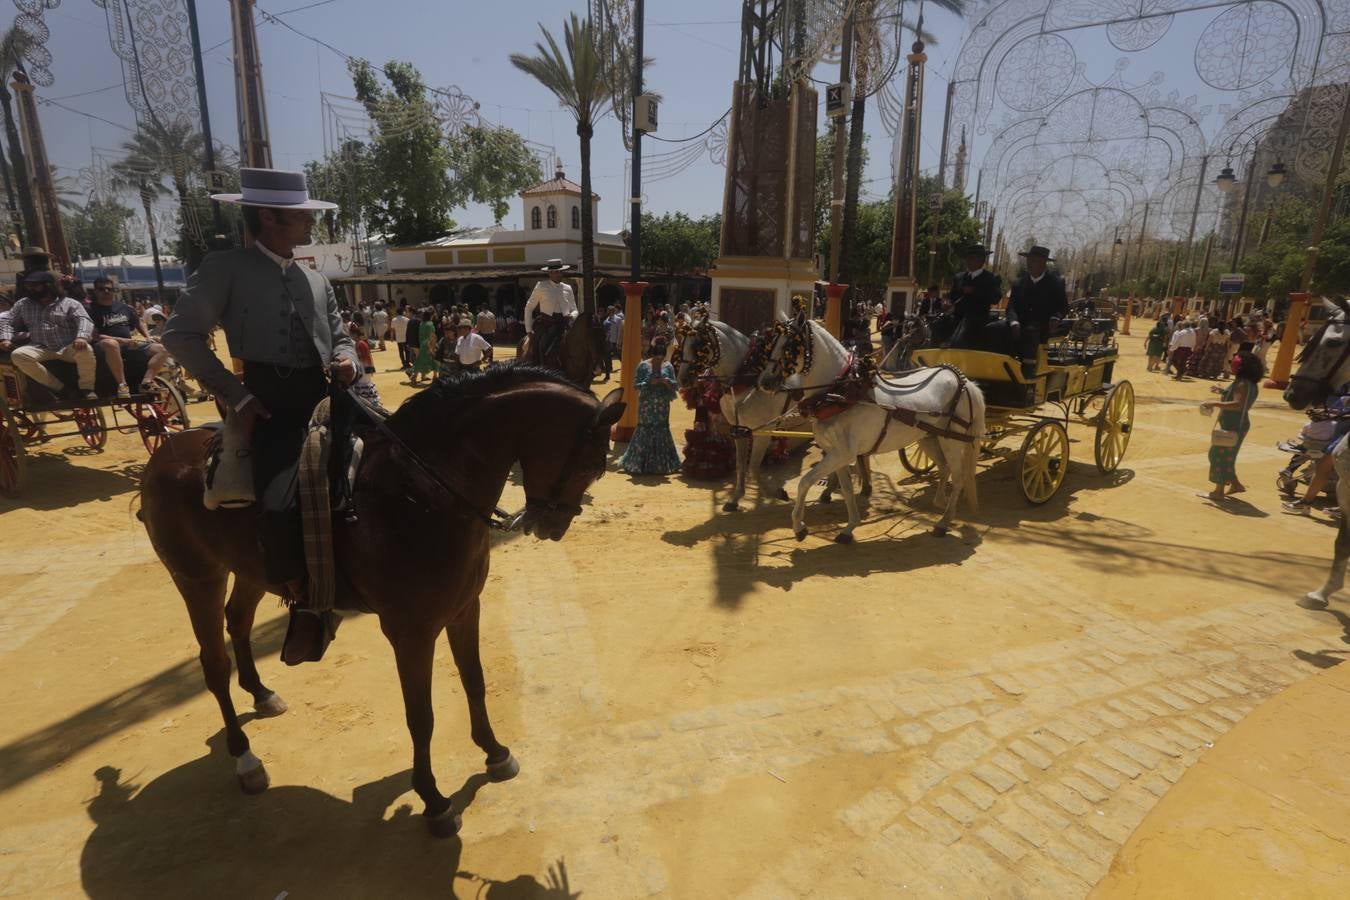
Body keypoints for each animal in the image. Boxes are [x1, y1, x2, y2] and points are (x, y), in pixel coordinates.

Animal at [139, 367, 623, 836]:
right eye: (589, 464)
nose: (552, 526)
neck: (421, 496)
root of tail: (166, 453)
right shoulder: (411, 633)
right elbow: (421, 716)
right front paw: (434, 800)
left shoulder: (465, 609)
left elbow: (475, 681)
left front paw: (495, 752)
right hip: (197, 578)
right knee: (214, 664)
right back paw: (246, 758)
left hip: (249, 571)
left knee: (238, 622)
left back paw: (261, 693)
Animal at [761, 310, 982, 542]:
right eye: (771, 343)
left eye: (789, 346)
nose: (764, 382)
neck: (841, 393)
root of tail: (962, 380)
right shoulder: (836, 454)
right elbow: (847, 490)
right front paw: (849, 527)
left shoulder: (842, 454)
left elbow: (804, 482)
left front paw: (799, 527)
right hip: (929, 438)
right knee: (944, 468)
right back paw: (941, 503)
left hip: (952, 441)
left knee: (958, 476)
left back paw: (944, 522)